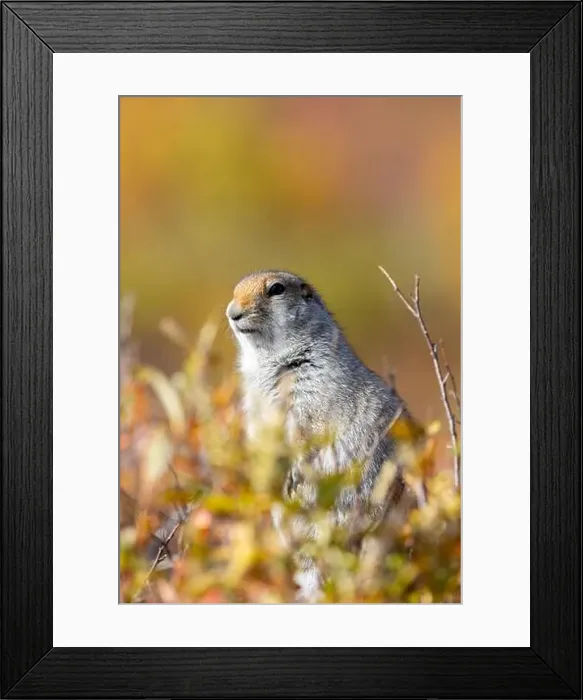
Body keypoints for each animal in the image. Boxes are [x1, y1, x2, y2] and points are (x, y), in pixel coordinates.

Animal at [227, 270, 419, 597]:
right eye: (235, 289)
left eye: (276, 289)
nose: (232, 312)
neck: (269, 361)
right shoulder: (254, 404)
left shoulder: (311, 389)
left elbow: (305, 430)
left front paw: (292, 470)